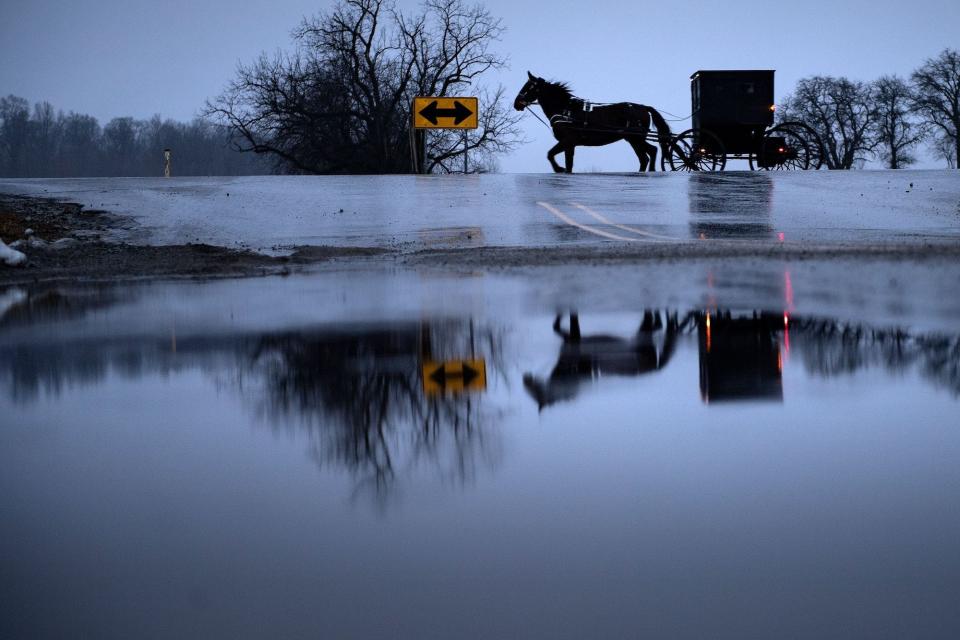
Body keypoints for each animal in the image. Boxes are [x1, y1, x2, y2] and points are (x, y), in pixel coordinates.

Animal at [512, 72, 672, 174]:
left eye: (529, 86)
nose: (516, 103)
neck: (566, 110)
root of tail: (643, 107)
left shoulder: (567, 140)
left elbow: (550, 154)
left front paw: (559, 169)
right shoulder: (570, 144)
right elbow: (568, 163)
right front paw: (563, 170)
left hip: (636, 138)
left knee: (651, 152)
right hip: (633, 139)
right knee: (646, 156)